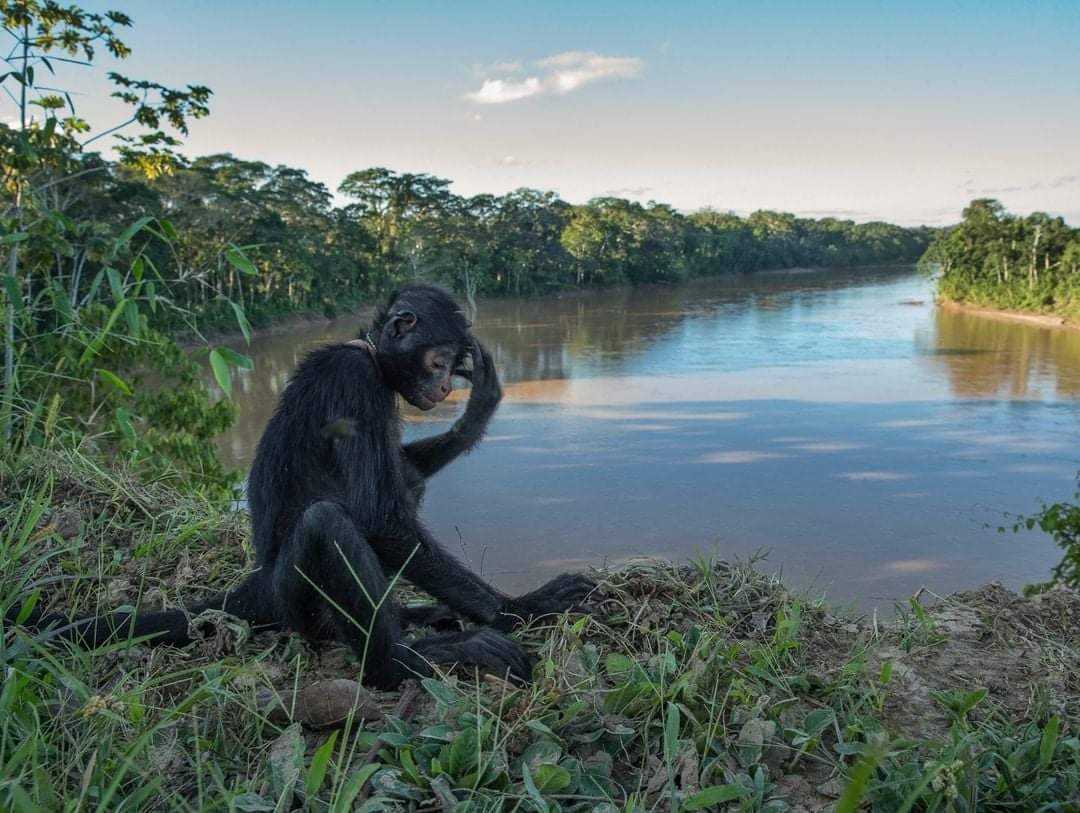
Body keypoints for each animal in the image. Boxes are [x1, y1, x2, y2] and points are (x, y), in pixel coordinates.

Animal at [14, 282, 591, 686]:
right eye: (439, 360)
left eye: (454, 365)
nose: (447, 385)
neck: (368, 352)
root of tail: (260, 583)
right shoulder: (354, 379)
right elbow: (380, 518)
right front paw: (520, 608)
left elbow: (401, 478)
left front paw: (476, 414)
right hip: (297, 603)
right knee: (328, 522)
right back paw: (396, 664)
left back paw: (411, 615)